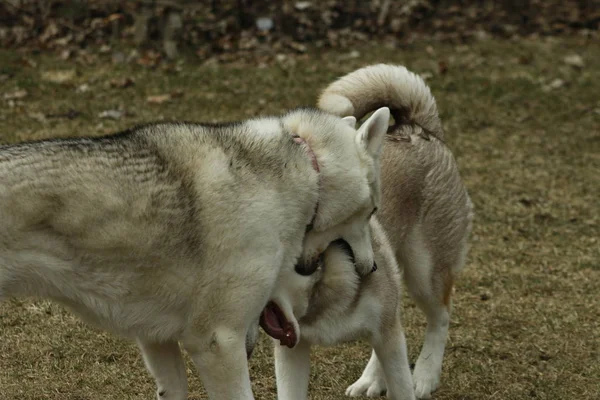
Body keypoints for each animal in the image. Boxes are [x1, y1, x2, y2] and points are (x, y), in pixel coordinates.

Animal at [270, 64, 474, 398]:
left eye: (372, 213)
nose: (371, 267)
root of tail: (417, 129)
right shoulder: (292, 351)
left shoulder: (388, 331)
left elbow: (401, 385)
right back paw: (371, 380)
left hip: (425, 275)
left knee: (440, 317)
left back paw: (425, 375)